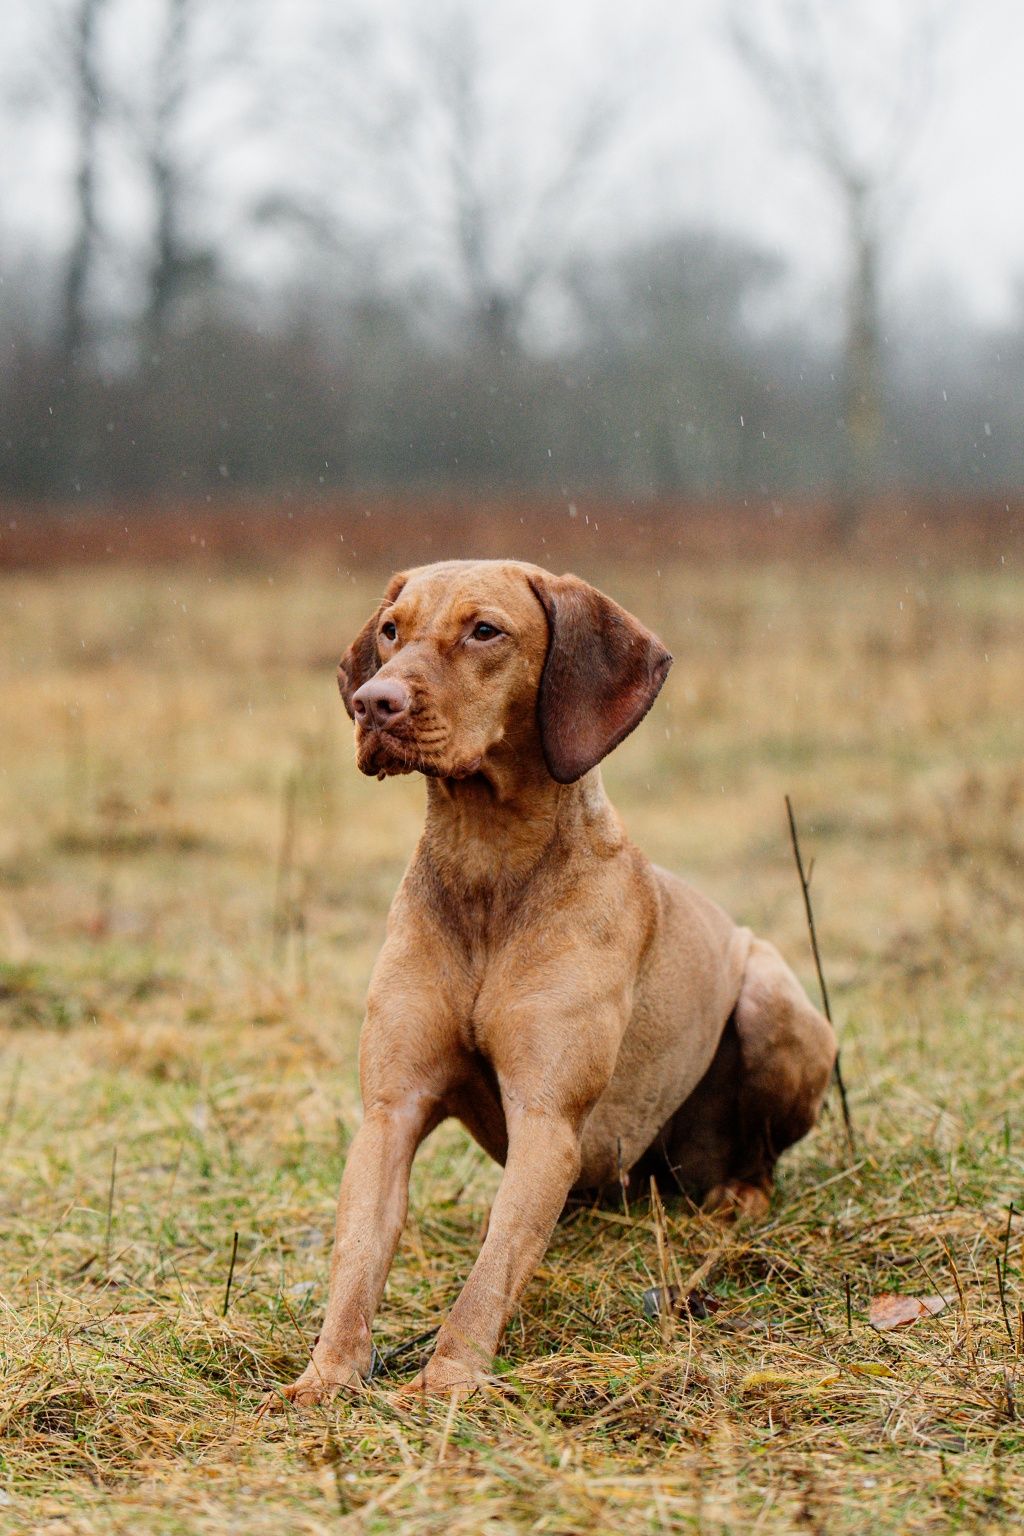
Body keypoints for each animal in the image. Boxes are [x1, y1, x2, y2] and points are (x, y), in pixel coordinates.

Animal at [277, 562, 835, 1406]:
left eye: (485, 631)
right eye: (390, 631)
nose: (375, 702)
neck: (486, 866)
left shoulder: (546, 1116)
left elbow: (492, 1270)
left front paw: (446, 1383)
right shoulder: (391, 1107)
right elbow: (359, 1254)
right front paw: (328, 1375)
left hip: (774, 999)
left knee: (761, 1159)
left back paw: (738, 1198)